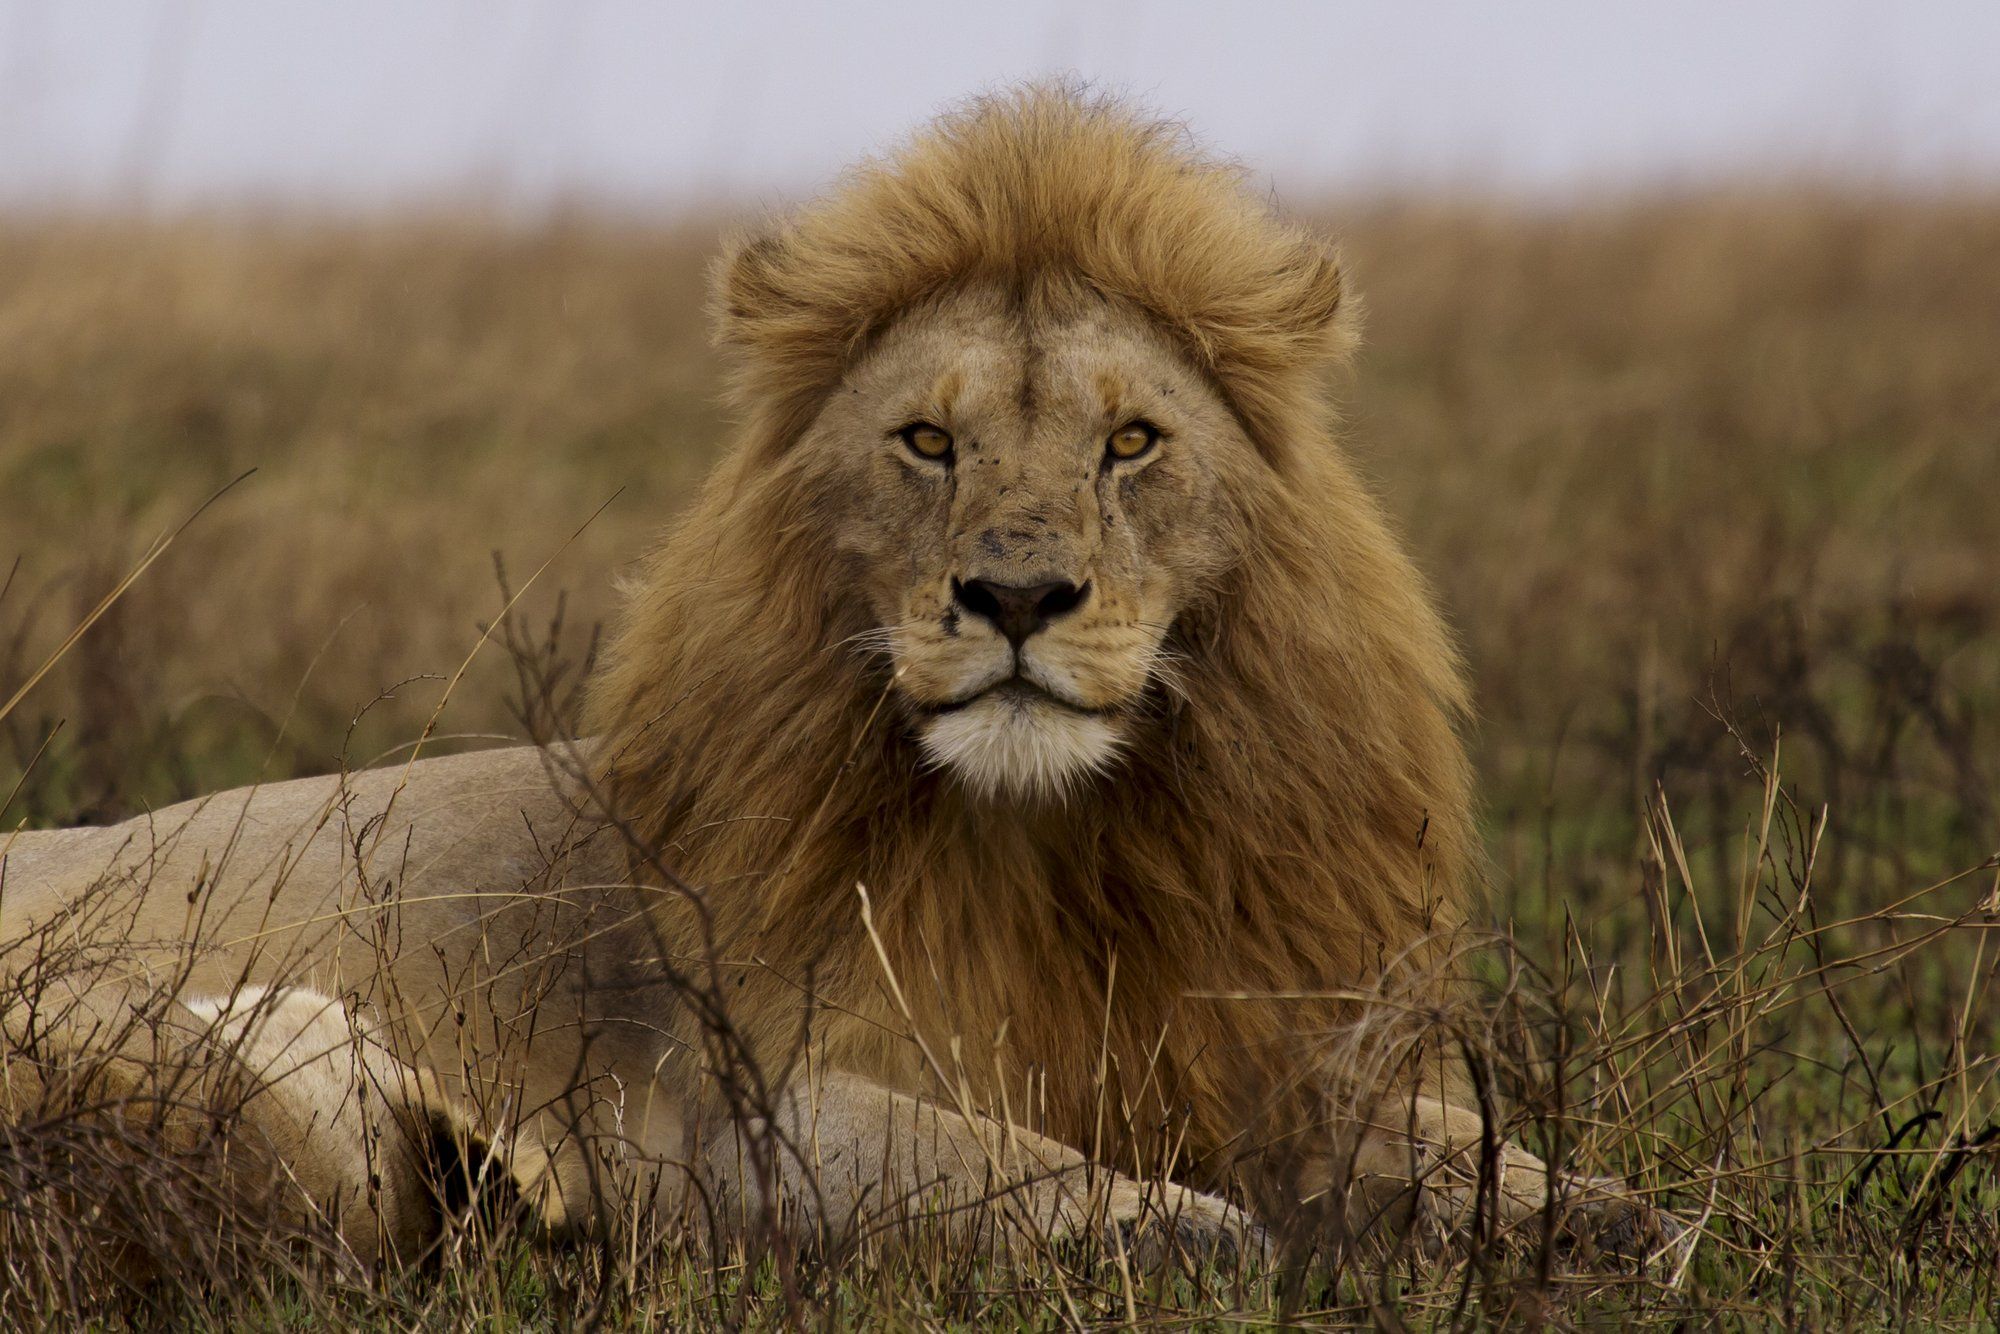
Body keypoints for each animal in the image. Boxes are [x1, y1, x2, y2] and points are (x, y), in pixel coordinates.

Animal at [0, 87, 1666, 1279]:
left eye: (1131, 442)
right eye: (926, 442)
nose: (1015, 596)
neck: (1051, 855)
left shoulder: (1237, 1046)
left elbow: (1441, 1133)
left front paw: (1596, 1208)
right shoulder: (722, 1099)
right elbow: (987, 1161)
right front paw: (1177, 1226)